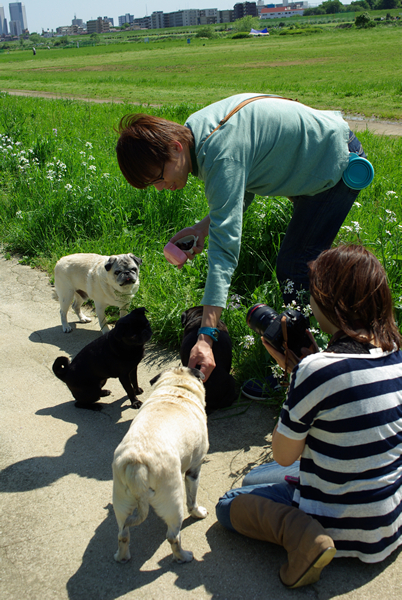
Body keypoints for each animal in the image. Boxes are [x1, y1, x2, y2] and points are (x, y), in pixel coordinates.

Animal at [112, 364, 209, 564]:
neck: (176, 390)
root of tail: (138, 465)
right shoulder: (194, 470)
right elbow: (192, 499)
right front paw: (198, 512)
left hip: (121, 502)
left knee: (122, 534)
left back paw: (121, 557)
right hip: (172, 500)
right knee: (173, 536)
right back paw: (183, 556)